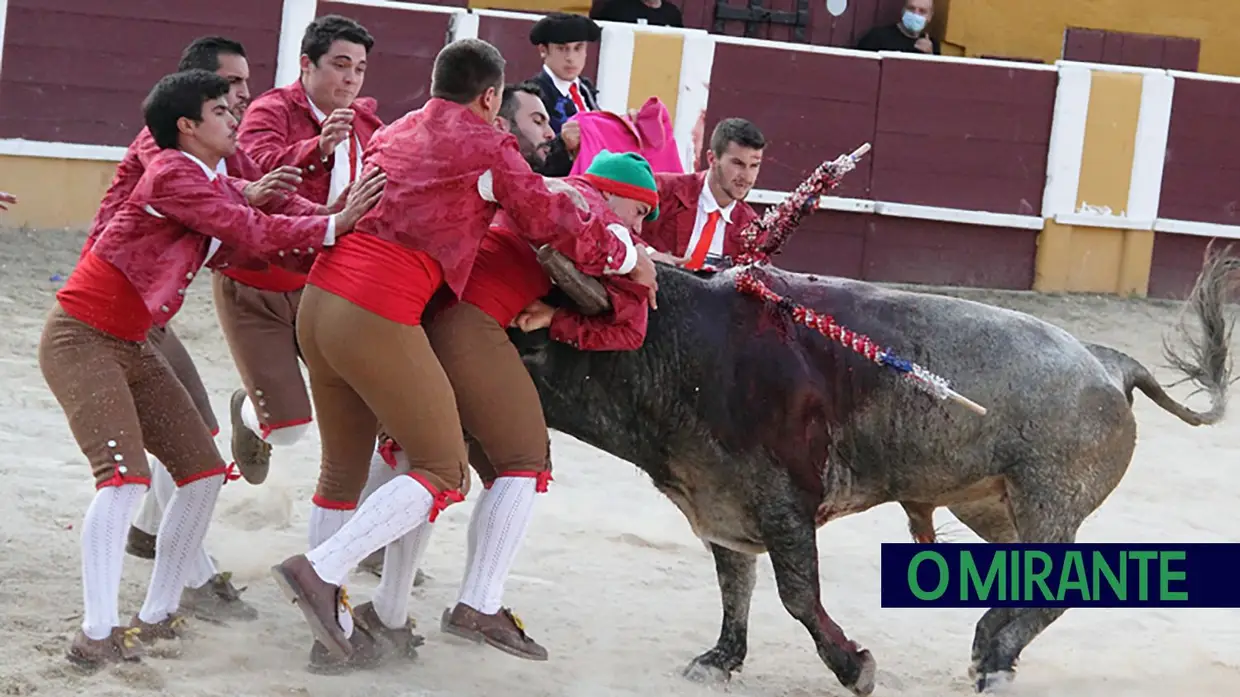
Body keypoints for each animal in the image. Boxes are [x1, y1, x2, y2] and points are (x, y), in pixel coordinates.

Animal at [503, 249, 1230, 689]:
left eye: (531, 339)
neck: (682, 347)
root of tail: (1107, 359)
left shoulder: (784, 503)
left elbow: (797, 594)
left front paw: (853, 665)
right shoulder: (722, 500)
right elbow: (735, 586)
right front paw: (720, 660)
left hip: (1049, 502)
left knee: (1057, 584)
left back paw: (994, 658)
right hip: (993, 505)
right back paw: (989, 645)